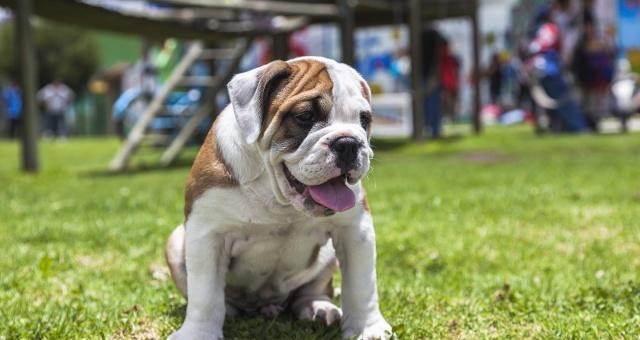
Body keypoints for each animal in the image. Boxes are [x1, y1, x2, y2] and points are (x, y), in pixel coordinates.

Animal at [165, 57, 392, 338]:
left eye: (364, 119)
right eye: (305, 116)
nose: (349, 143)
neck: (278, 198)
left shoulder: (354, 230)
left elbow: (362, 285)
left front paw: (367, 328)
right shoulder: (208, 234)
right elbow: (205, 294)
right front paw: (198, 333)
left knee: (313, 290)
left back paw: (318, 307)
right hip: (176, 241)